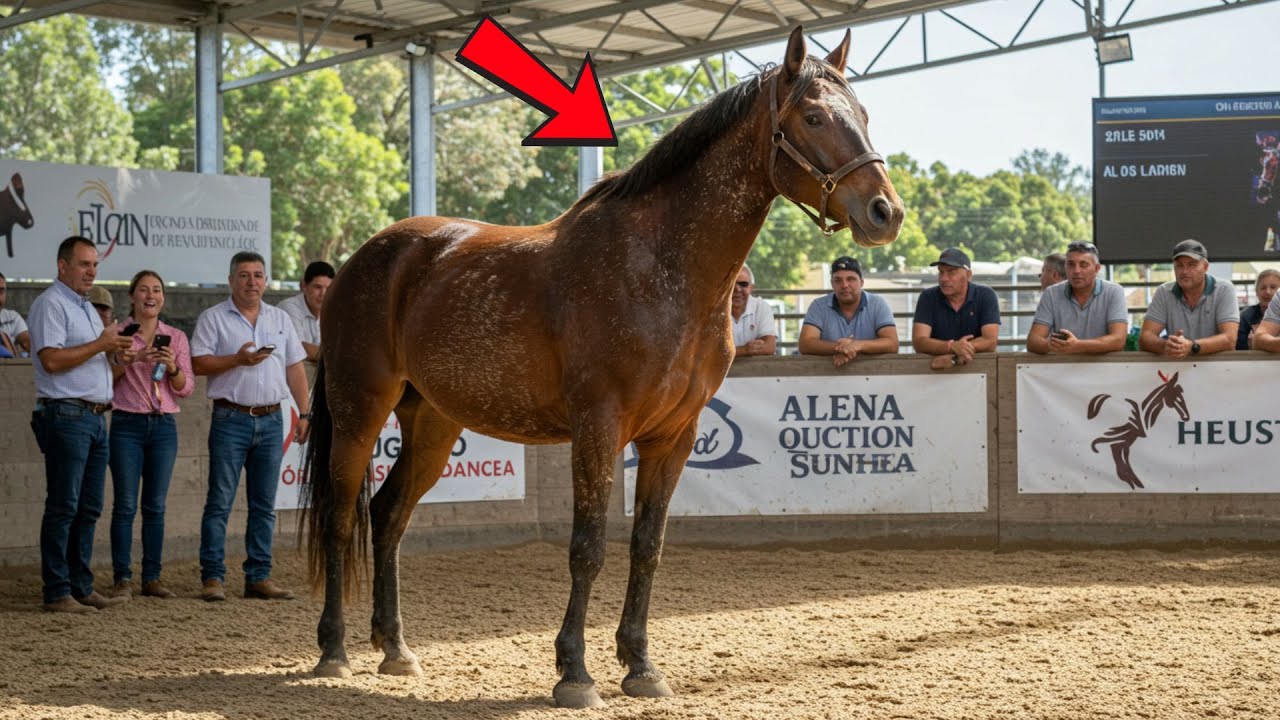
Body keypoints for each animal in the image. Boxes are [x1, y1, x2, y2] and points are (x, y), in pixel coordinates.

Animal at [299, 26, 903, 708]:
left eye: (864, 114)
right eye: (814, 116)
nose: (885, 212)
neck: (662, 269)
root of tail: (365, 259)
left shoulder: (674, 435)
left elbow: (647, 546)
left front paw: (640, 666)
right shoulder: (598, 425)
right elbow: (587, 547)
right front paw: (574, 672)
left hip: (433, 422)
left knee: (388, 515)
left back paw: (397, 650)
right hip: (360, 409)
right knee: (342, 517)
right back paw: (334, 651)